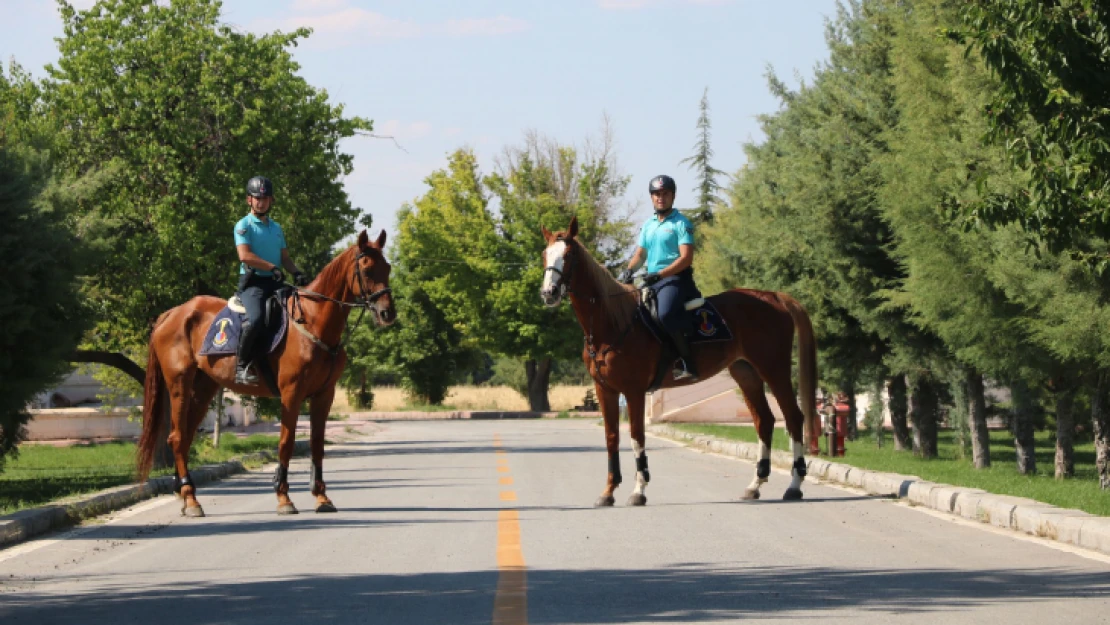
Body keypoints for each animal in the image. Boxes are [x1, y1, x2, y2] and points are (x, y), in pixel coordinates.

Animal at [135, 232, 395, 515]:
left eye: (388, 268)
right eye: (367, 270)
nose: (387, 313)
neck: (313, 323)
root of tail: (172, 313)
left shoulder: (324, 395)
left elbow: (317, 443)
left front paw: (321, 497)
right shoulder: (291, 394)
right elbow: (286, 442)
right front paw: (283, 497)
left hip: (203, 388)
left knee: (185, 438)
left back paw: (186, 496)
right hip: (179, 385)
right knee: (177, 437)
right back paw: (191, 499)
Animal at [541, 217, 821, 506]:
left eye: (569, 255)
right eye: (545, 255)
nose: (549, 292)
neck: (613, 322)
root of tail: (774, 297)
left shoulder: (633, 391)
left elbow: (636, 436)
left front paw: (638, 490)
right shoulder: (604, 390)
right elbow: (611, 437)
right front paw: (608, 491)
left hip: (773, 369)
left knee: (793, 418)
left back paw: (794, 485)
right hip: (746, 373)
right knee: (764, 421)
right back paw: (755, 485)